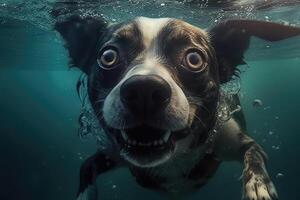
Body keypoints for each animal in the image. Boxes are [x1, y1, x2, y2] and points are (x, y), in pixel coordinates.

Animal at [54, 14, 300, 200]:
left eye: (194, 59)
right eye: (108, 56)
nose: (144, 89)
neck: (173, 158)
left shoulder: (231, 138)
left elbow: (254, 154)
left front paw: (258, 187)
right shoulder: (113, 152)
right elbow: (86, 167)